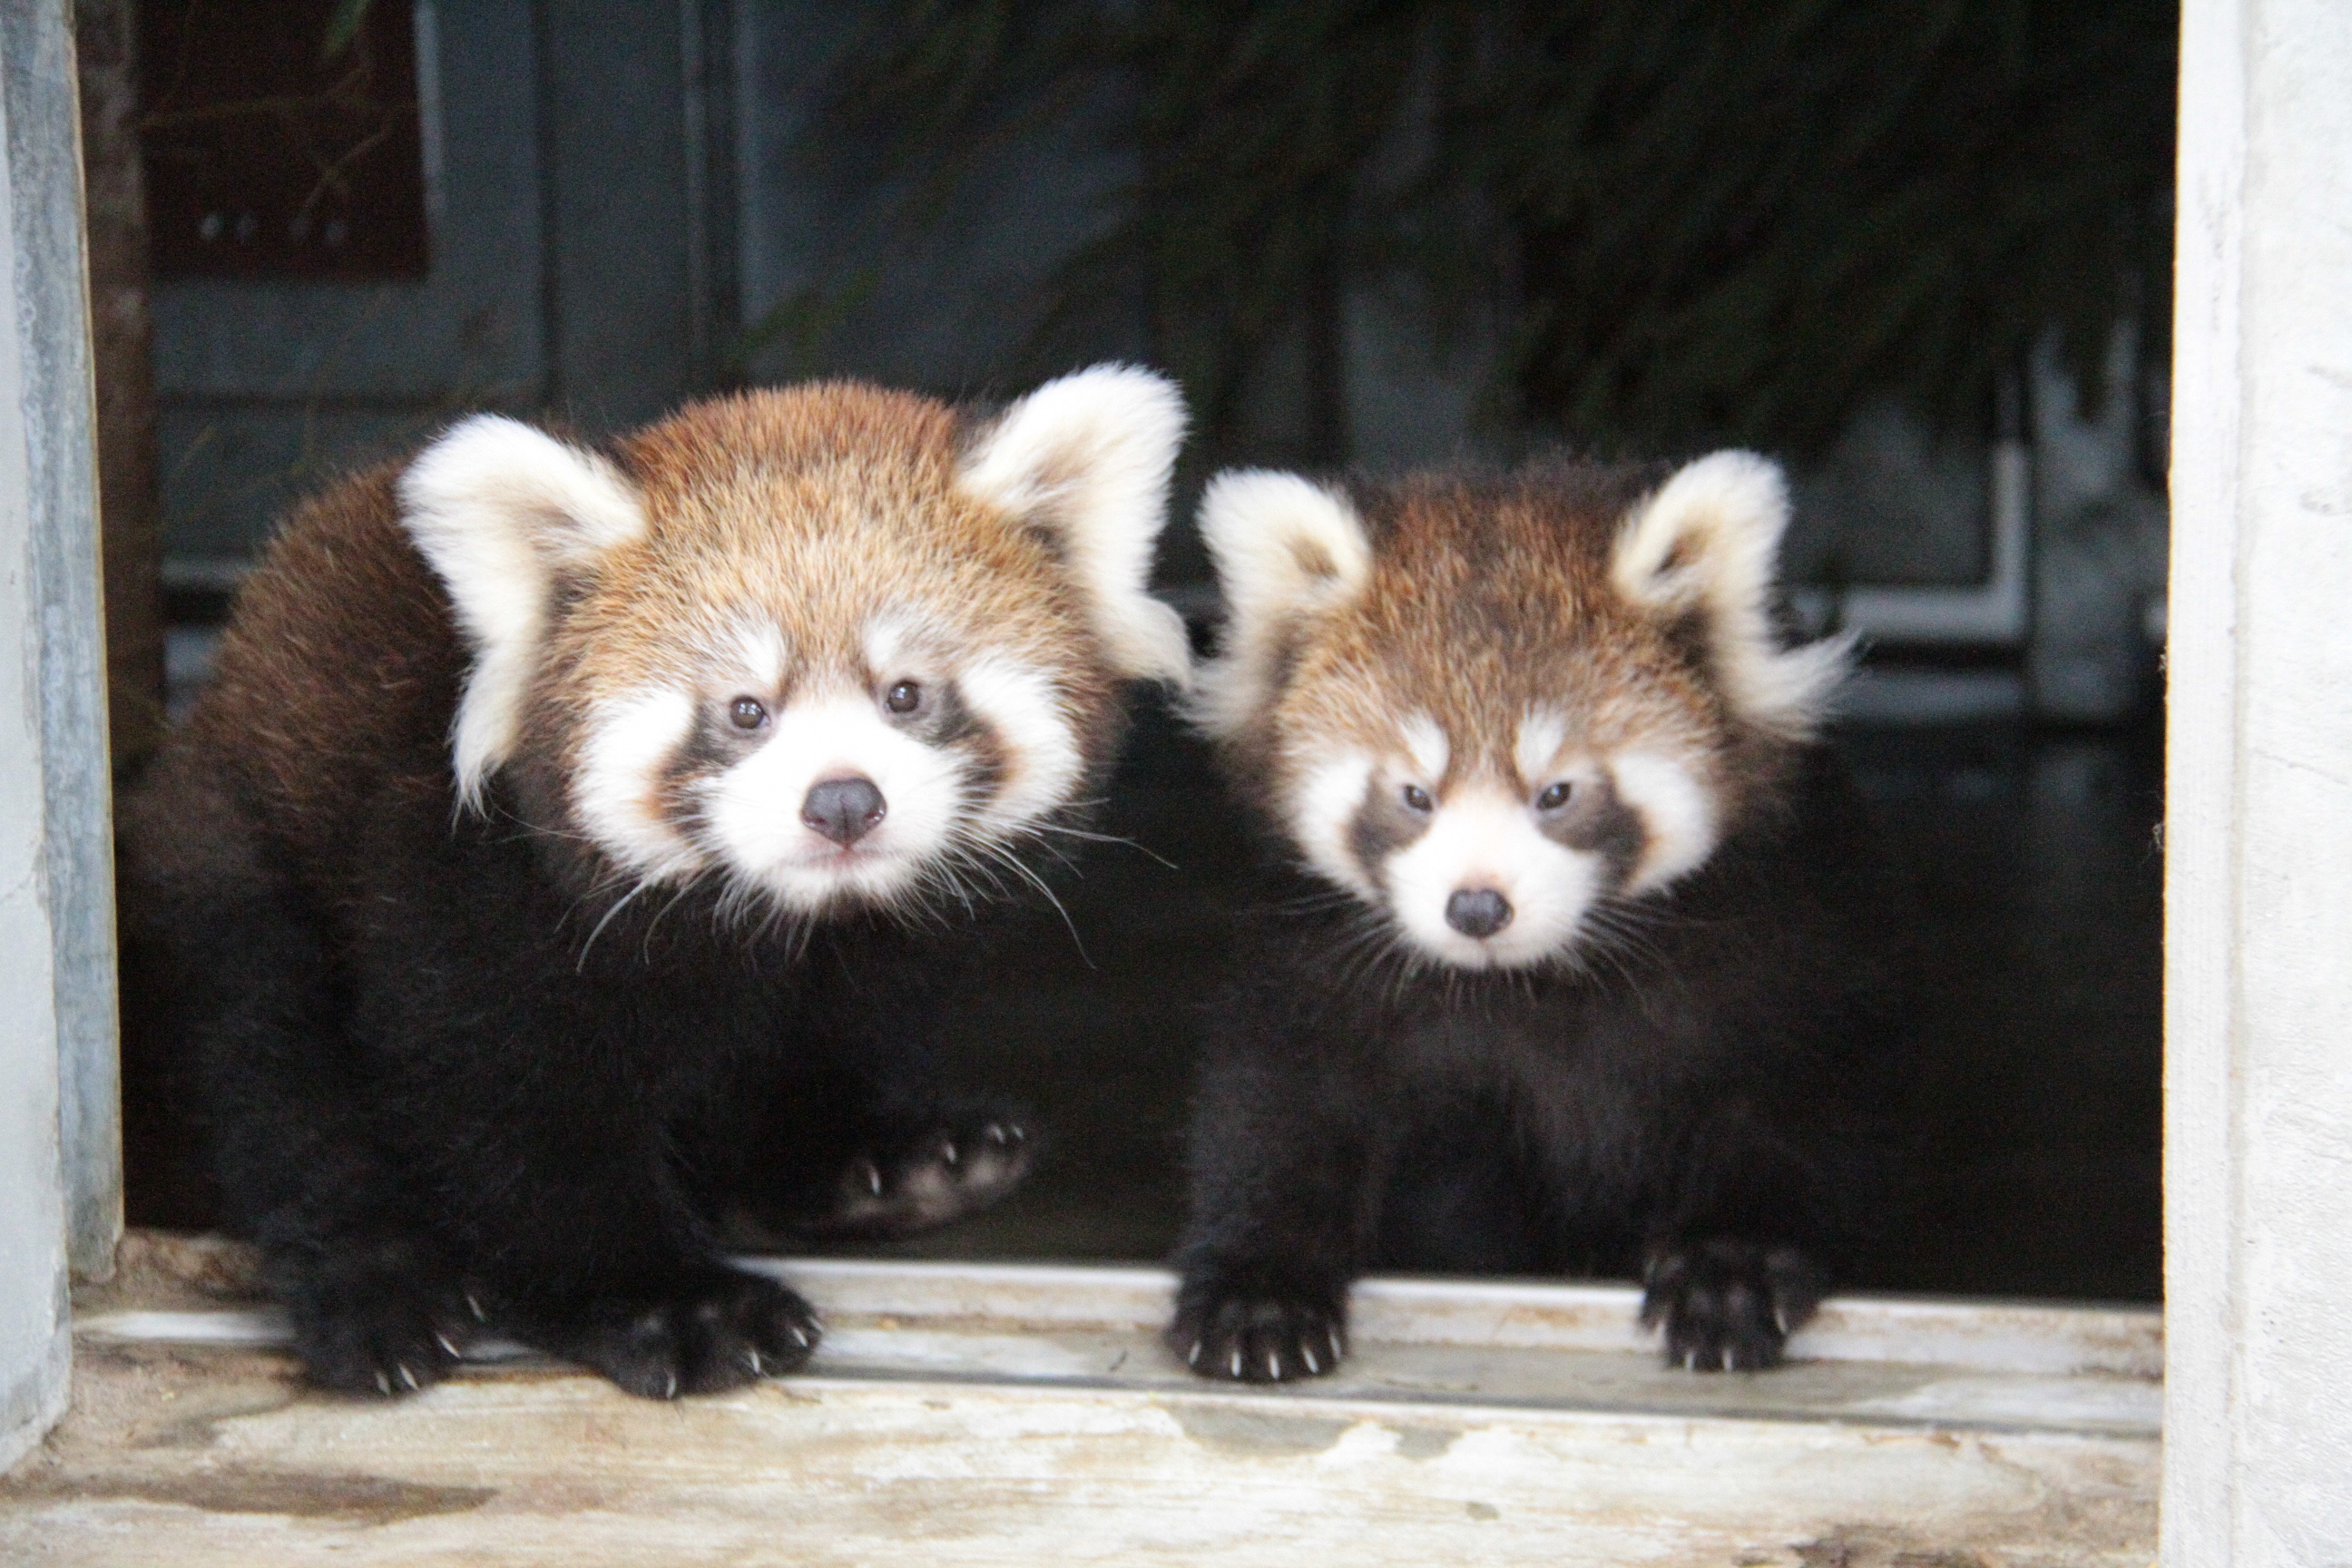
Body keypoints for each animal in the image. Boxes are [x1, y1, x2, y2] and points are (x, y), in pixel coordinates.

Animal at [123, 368, 1194, 1401]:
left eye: (906, 694)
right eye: (746, 711)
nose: (843, 801)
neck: (778, 926)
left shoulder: (871, 955)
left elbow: (838, 1035)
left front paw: (868, 1156)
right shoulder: (455, 890)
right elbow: (516, 1120)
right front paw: (673, 1305)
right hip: (246, 861)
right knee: (277, 1074)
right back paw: (380, 1293)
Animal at [1166, 454, 1900, 1382]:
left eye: (1557, 793)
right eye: (1414, 795)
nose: (1477, 905)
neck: (1535, 985)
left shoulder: (1791, 931)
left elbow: (1797, 1104)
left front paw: (1729, 1274)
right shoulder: (1313, 954)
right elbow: (1280, 1103)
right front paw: (1258, 1293)